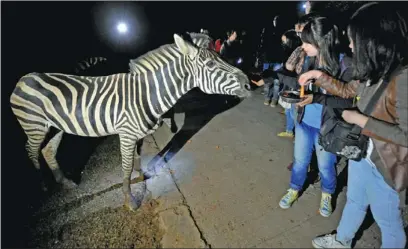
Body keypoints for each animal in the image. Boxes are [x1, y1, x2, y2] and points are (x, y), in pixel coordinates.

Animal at [9, 34, 250, 211]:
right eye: (209, 63)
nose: (249, 84)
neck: (148, 94)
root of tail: (24, 78)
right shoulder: (125, 133)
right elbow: (124, 167)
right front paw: (130, 200)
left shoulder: (138, 133)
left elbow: (138, 154)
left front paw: (141, 173)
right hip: (34, 125)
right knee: (31, 149)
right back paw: (43, 185)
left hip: (55, 126)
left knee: (48, 150)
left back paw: (65, 182)